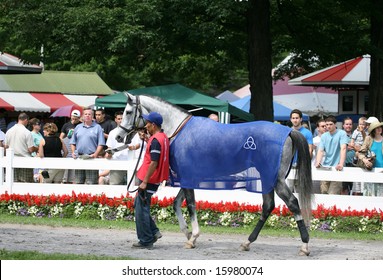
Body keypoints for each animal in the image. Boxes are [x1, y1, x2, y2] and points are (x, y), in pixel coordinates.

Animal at [116, 94, 312, 256]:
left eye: (128, 111)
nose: (118, 136)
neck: (180, 130)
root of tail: (290, 131)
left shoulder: (187, 178)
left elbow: (191, 205)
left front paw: (193, 237)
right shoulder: (188, 179)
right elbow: (177, 203)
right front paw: (187, 233)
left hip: (276, 180)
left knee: (292, 203)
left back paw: (304, 246)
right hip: (267, 179)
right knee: (268, 206)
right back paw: (247, 243)